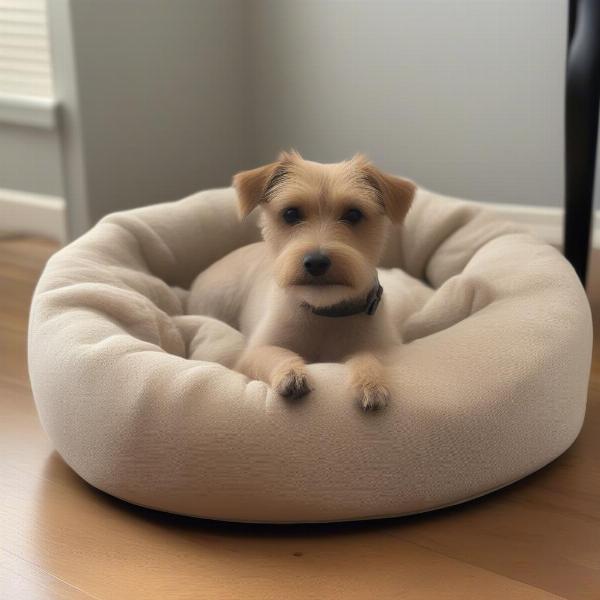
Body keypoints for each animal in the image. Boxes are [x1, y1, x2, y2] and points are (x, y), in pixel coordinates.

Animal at [190, 152, 414, 410]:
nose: (316, 262)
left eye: (354, 214)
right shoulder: (253, 353)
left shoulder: (382, 347)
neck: (324, 313)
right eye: (291, 214)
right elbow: (277, 354)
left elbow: (368, 356)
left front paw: (371, 382)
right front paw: (291, 374)